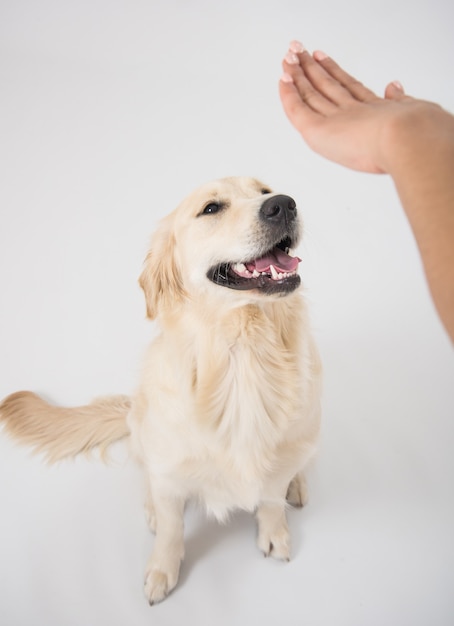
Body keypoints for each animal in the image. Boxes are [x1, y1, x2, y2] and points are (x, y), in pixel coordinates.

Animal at [0, 174, 320, 600]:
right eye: (211, 208)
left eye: (265, 191)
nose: (283, 205)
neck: (243, 354)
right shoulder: (169, 469)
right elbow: (171, 526)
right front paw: (162, 570)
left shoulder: (279, 458)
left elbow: (269, 497)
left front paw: (275, 533)